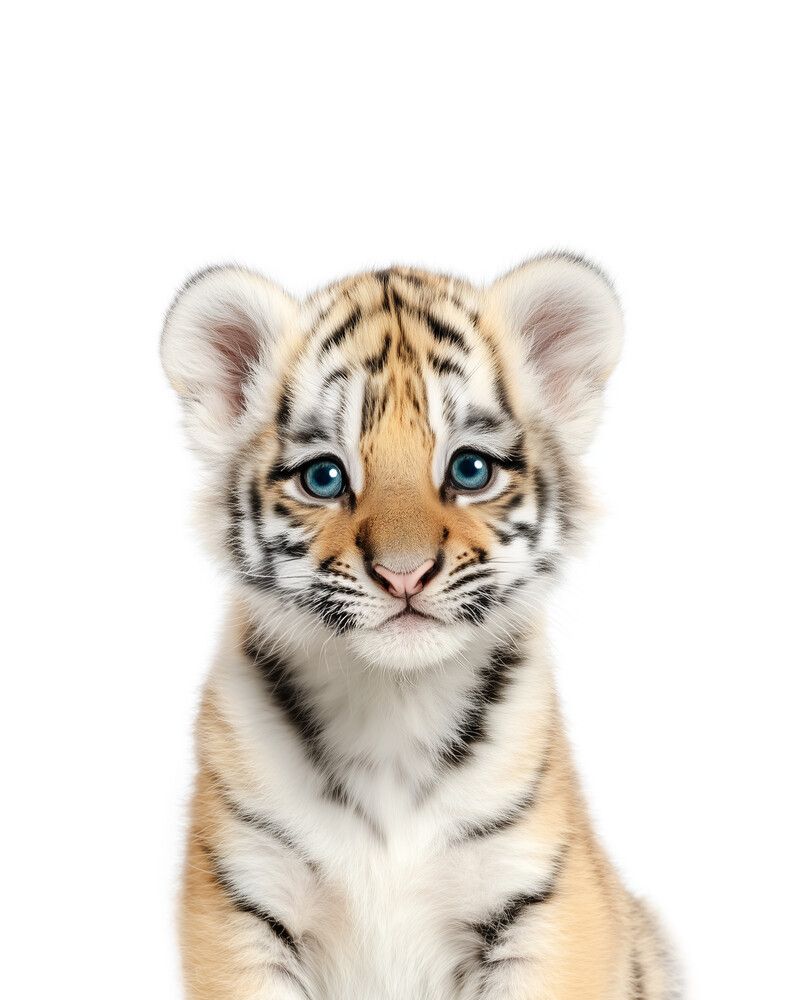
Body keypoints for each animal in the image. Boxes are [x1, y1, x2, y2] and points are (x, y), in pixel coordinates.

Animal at [161, 254, 679, 1000]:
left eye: (470, 468)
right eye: (324, 478)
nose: (404, 574)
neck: (393, 709)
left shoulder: (543, 907)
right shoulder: (241, 903)